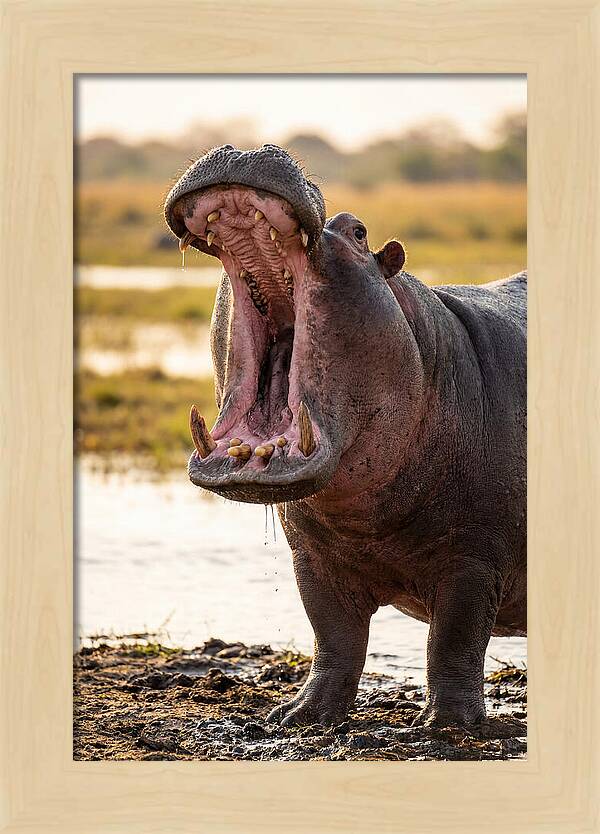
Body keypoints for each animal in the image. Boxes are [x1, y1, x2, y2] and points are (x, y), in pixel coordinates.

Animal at [164, 144, 527, 728]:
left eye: (358, 231)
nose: (247, 148)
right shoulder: (312, 558)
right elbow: (334, 635)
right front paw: (300, 716)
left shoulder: (475, 559)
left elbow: (454, 640)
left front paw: (447, 727)